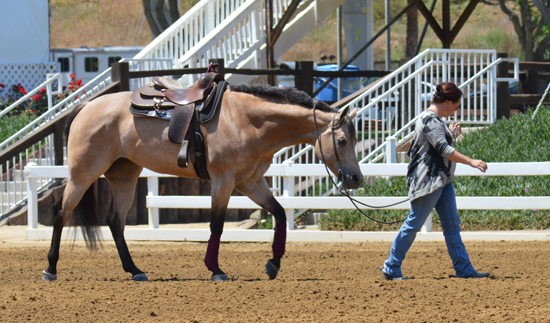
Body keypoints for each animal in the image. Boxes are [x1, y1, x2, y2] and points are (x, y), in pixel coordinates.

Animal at [42, 79, 362, 282]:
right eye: (342, 140)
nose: (356, 178)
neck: (246, 120)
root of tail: (85, 107)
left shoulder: (251, 183)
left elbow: (280, 214)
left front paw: (273, 264)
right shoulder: (224, 181)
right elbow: (217, 225)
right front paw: (215, 269)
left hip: (124, 175)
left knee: (115, 222)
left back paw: (135, 270)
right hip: (83, 173)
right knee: (60, 213)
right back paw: (51, 269)